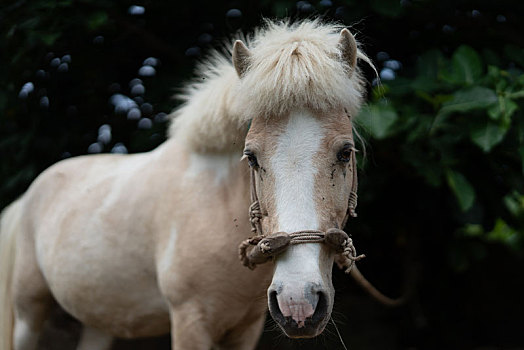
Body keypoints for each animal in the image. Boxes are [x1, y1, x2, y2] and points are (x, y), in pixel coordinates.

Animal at [1, 19, 376, 350]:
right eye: (252, 157)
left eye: (345, 153)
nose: (298, 302)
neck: (216, 208)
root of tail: (28, 197)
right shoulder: (189, 321)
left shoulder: (245, 329)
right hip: (28, 312)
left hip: (99, 320)